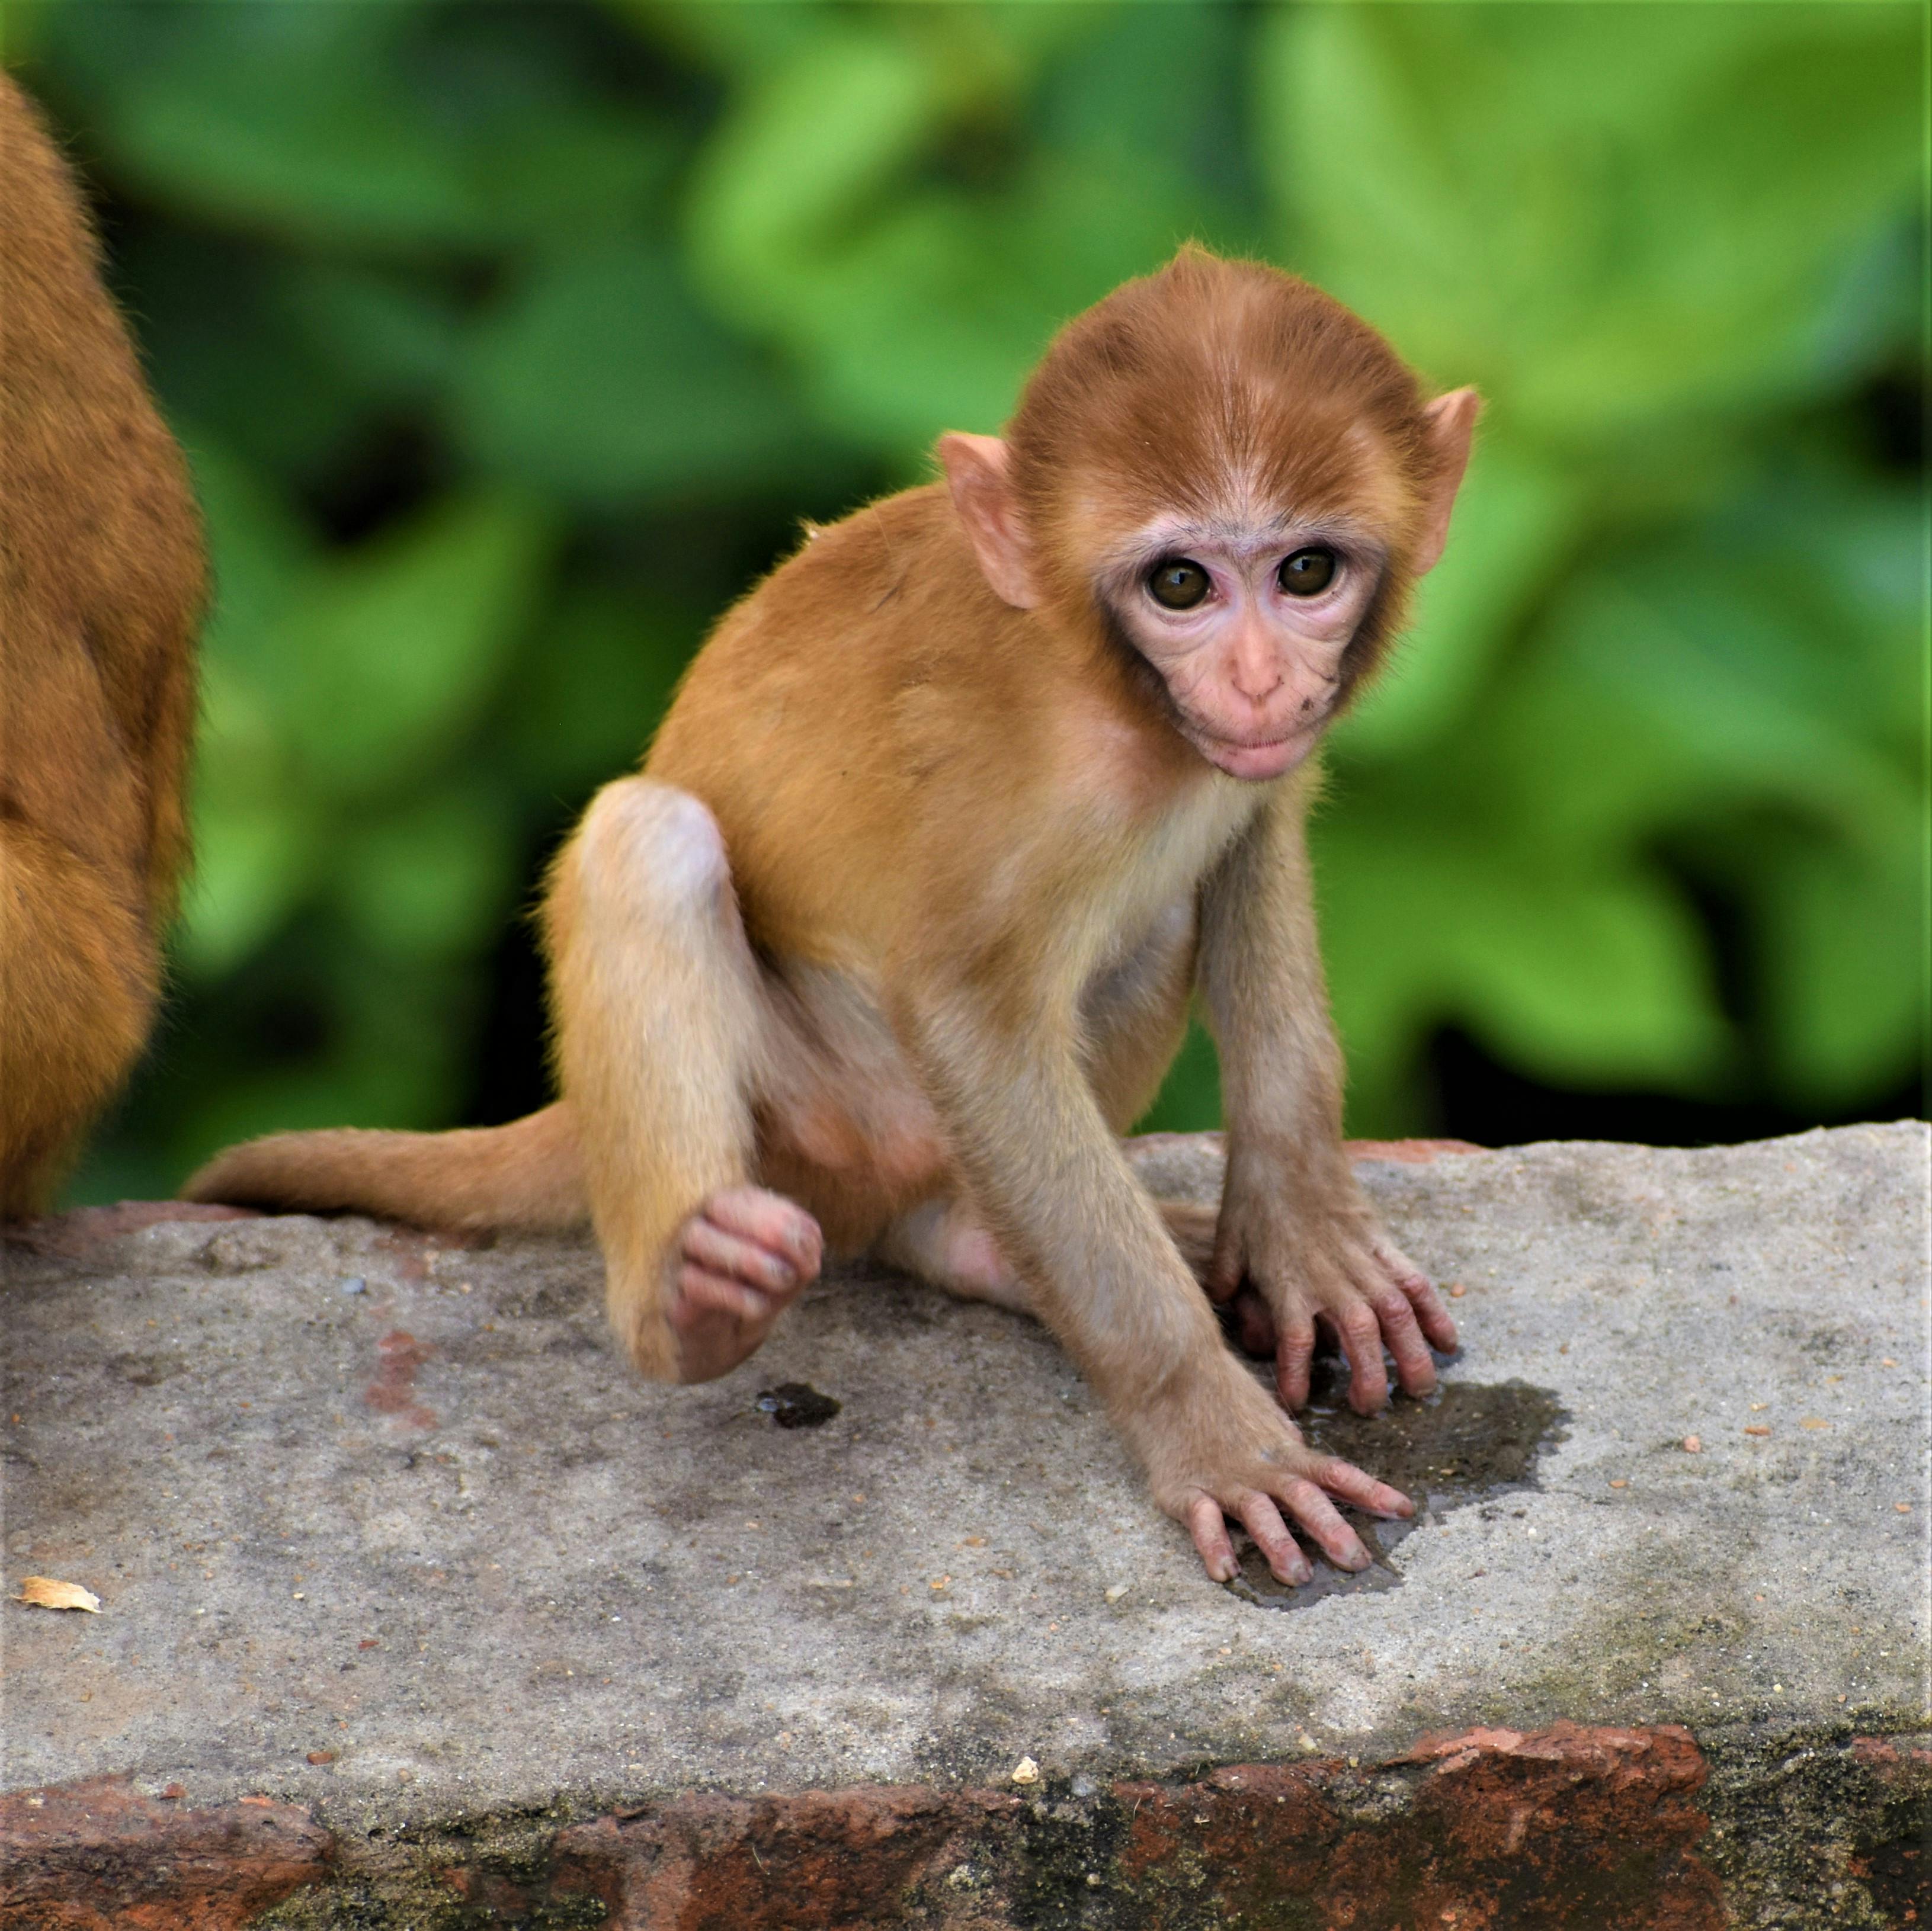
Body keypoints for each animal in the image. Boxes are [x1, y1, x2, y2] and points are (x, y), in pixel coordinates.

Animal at [187, 249, 1478, 1586]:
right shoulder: (1012, 793)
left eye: (1305, 571)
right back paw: (688, 1310)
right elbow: (968, 1018)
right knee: (648, 840)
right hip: (825, 1122)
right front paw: (1212, 1431)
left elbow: (1251, 845)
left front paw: (1303, 1234)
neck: (1120, 708)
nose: (1259, 682)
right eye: (1181, 584)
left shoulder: (1246, 767)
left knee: (1162, 918)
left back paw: (970, 1242)